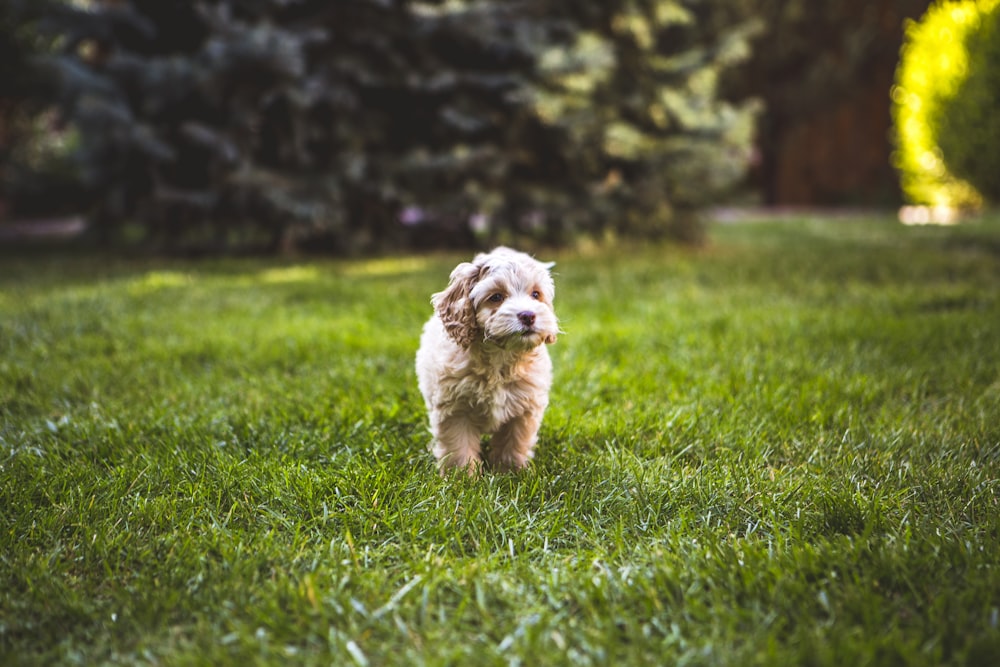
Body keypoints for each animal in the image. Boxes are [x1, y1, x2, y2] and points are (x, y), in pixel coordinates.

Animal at [412, 247, 556, 474]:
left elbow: (515, 440)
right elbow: (458, 446)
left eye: (535, 294)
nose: (528, 315)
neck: (500, 357)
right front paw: (462, 477)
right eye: (496, 297)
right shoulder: (454, 409)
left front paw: (511, 471)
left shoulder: (524, 408)